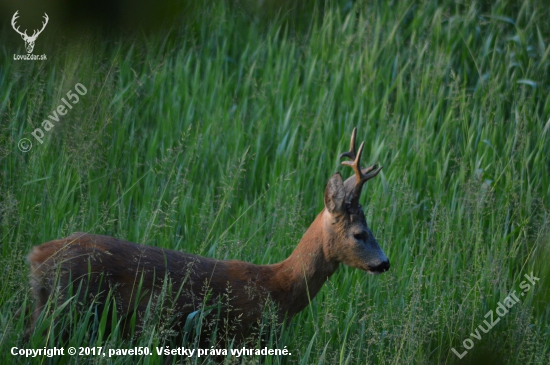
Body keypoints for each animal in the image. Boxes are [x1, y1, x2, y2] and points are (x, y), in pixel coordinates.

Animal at [24, 128, 388, 344]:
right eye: (359, 233)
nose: (385, 263)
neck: (279, 288)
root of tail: (36, 256)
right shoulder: (238, 338)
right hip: (64, 311)